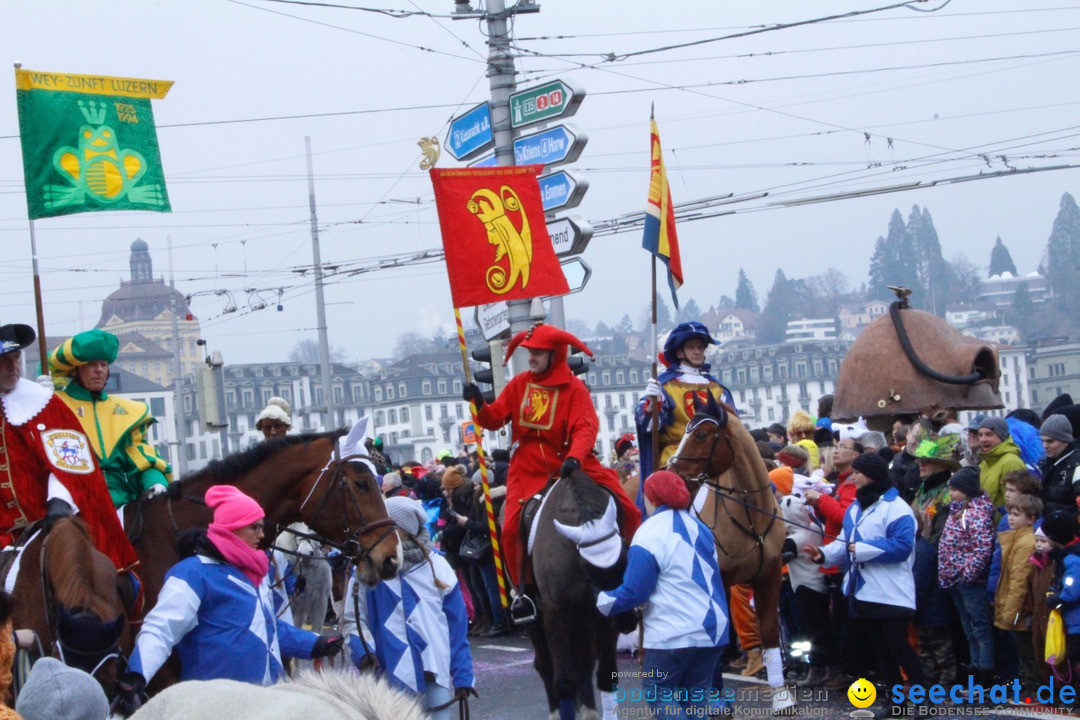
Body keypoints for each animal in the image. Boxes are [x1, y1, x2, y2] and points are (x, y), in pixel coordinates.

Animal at [527, 468, 622, 720]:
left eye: (625, 554)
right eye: (587, 567)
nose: (627, 620)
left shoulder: (598, 616)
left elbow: (606, 675)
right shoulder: (555, 612)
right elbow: (564, 683)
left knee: (583, 665)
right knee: (547, 667)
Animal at [665, 395, 794, 716]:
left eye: (700, 435)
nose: (671, 476)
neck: (751, 517)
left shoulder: (770, 576)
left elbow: (768, 631)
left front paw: (781, 696)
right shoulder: (720, 580)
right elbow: (719, 640)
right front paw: (715, 700)